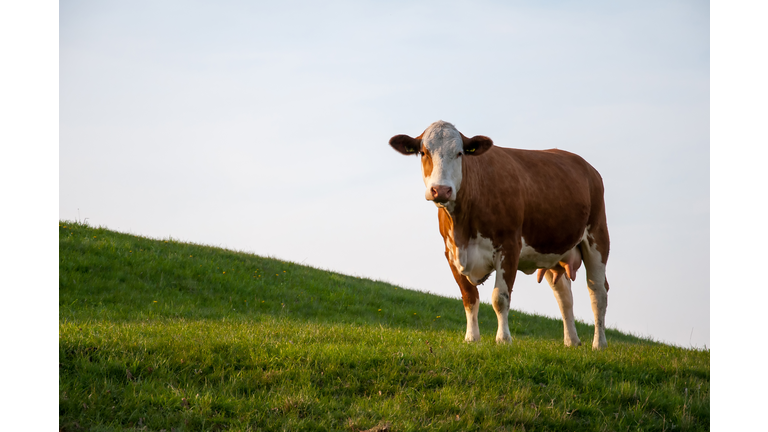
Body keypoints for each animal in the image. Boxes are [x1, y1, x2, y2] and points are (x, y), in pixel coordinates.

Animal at [389, 120, 610, 349]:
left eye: (460, 153)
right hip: (550, 250)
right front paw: (471, 337)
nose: (441, 190)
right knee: (564, 296)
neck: (463, 228)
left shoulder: (509, 247)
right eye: (424, 152)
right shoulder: (451, 253)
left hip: (598, 236)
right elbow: (469, 297)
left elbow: (500, 298)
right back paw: (571, 341)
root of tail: (587, 167)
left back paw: (599, 344)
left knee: (598, 292)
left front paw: (503, 339)